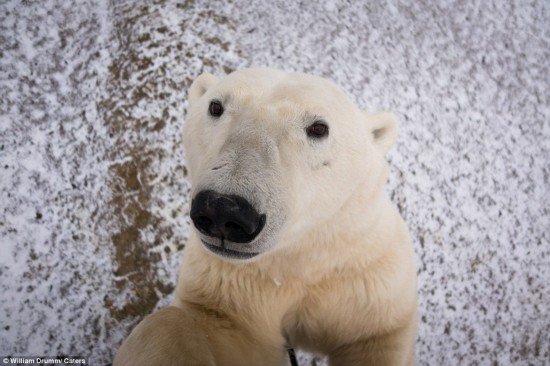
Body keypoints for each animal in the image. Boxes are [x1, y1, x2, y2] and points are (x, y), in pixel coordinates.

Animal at [113, 68, 418, 366]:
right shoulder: (234, 284)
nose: (223, 210)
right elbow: (212, 327)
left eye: (319, 128)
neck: (294, 257)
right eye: (215, 106)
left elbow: (376, 337)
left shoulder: (366, 285)